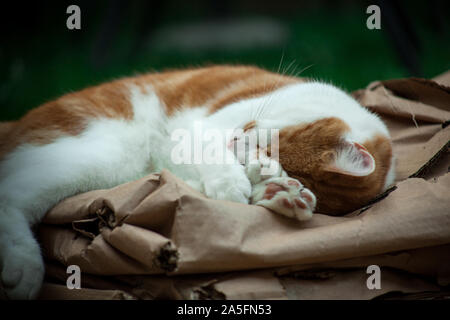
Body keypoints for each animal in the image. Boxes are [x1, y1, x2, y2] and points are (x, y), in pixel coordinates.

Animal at [0, 65, 394, 300]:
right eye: (267, 147)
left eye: (264, 162)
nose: (237, 143)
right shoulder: (203, 129)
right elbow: (208, 150)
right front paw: (232, 183)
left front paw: (281, 194)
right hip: (104, 152)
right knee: (11, 194)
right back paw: (23, 267)